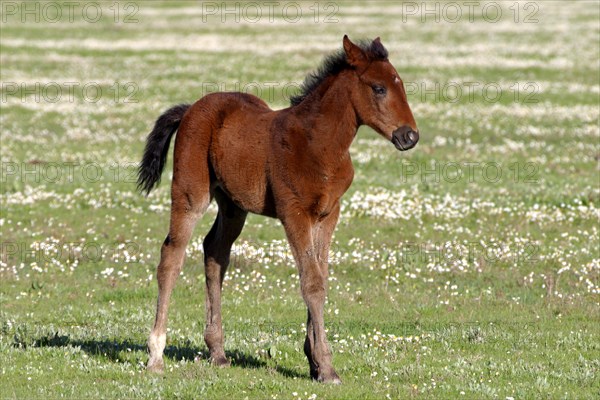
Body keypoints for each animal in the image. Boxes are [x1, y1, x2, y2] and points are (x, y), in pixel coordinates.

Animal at [137, 36, 420, 382]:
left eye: (400, 83)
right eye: (379, 88)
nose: (409, 135)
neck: (318, 144)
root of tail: (190, 108)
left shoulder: (328, 213)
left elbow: (321, 275)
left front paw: (313, 360)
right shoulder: (294, 212)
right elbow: (312, 282)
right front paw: (326, 366)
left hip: (233, 205)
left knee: (214, 252)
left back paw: (217, 351)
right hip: (191, 193)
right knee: (171, 256)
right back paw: (156, 354)